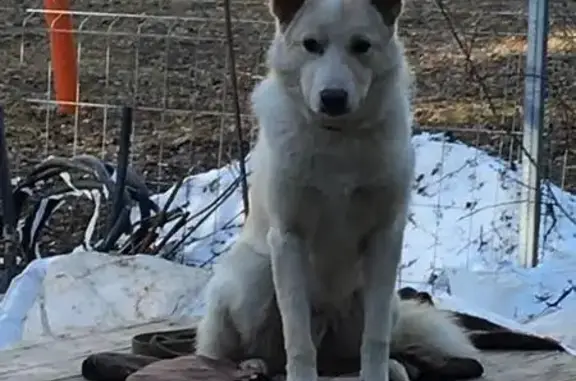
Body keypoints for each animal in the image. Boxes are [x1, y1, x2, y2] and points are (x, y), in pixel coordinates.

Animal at [194, 0, 476, 380]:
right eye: (311, 45)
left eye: (362, 46)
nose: (333, 98)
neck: (337, 140)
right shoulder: (289, 238)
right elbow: (297, 340)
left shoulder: (385, 237)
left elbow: (375, 339)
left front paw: (376, 376)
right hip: (251, 281)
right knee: (221, 355)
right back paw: (251, 364)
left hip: (381, 302)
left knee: (355, 354)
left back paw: (392, 367)